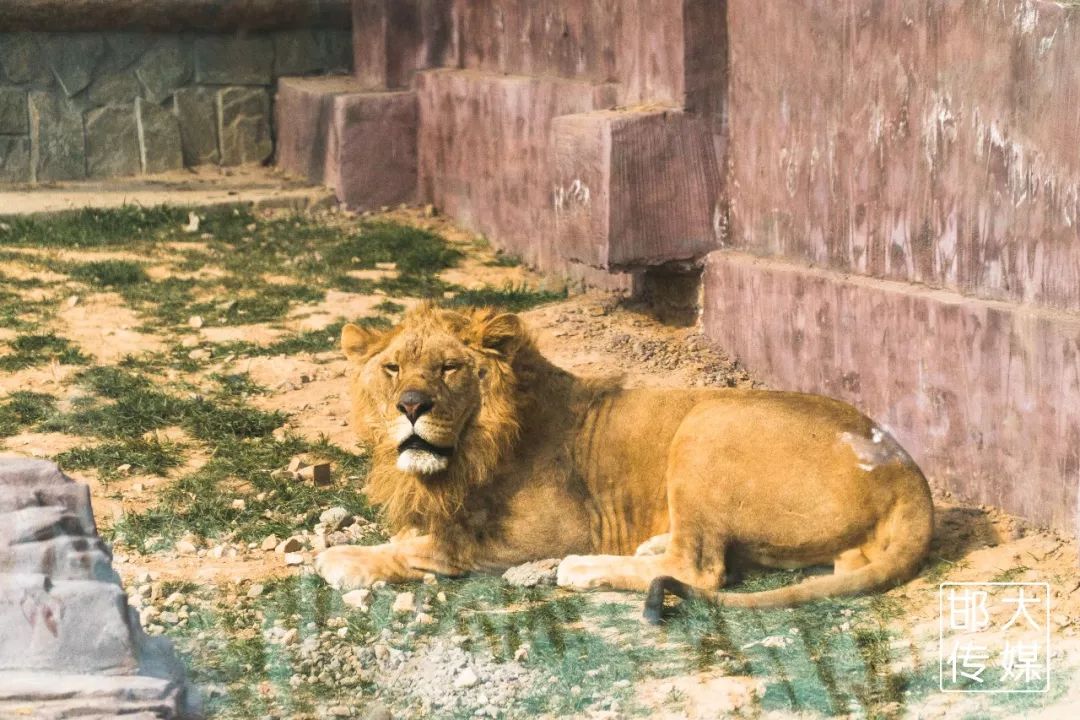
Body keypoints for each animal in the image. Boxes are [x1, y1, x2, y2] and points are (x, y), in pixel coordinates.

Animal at [315, 304, 933, 621]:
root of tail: (911, 478)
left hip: (706, 424)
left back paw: (585, 568)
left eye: (449, 368)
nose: (412, 406)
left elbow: (432, 547)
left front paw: (344, 558)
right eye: (393, 369)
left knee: (698, 569)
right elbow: (418, 535)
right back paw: (650, 545)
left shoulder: (549, 530)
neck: (470, 451)